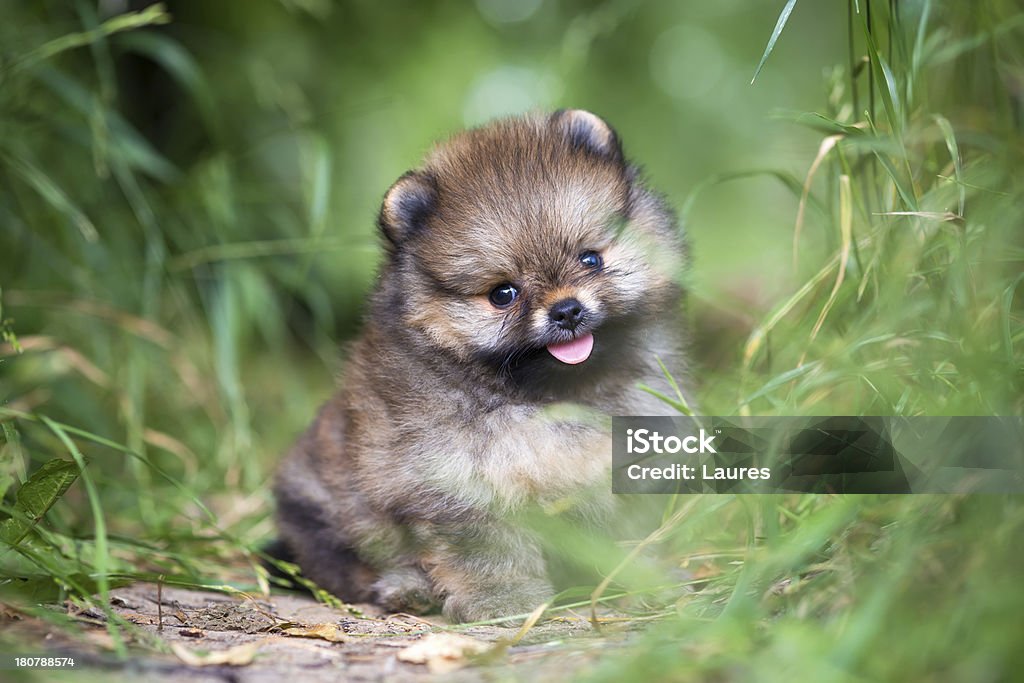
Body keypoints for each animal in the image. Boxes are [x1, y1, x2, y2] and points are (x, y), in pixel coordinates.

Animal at [272, 108, 692, 626]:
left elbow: (629, 534)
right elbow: (488, 550)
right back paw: (408, 588)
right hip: (321, 506)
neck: (550, 398)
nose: (567, 310)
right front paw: (503, 601)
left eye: (590, 258)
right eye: (503, 293)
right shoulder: (461, 480)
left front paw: (642, 580)